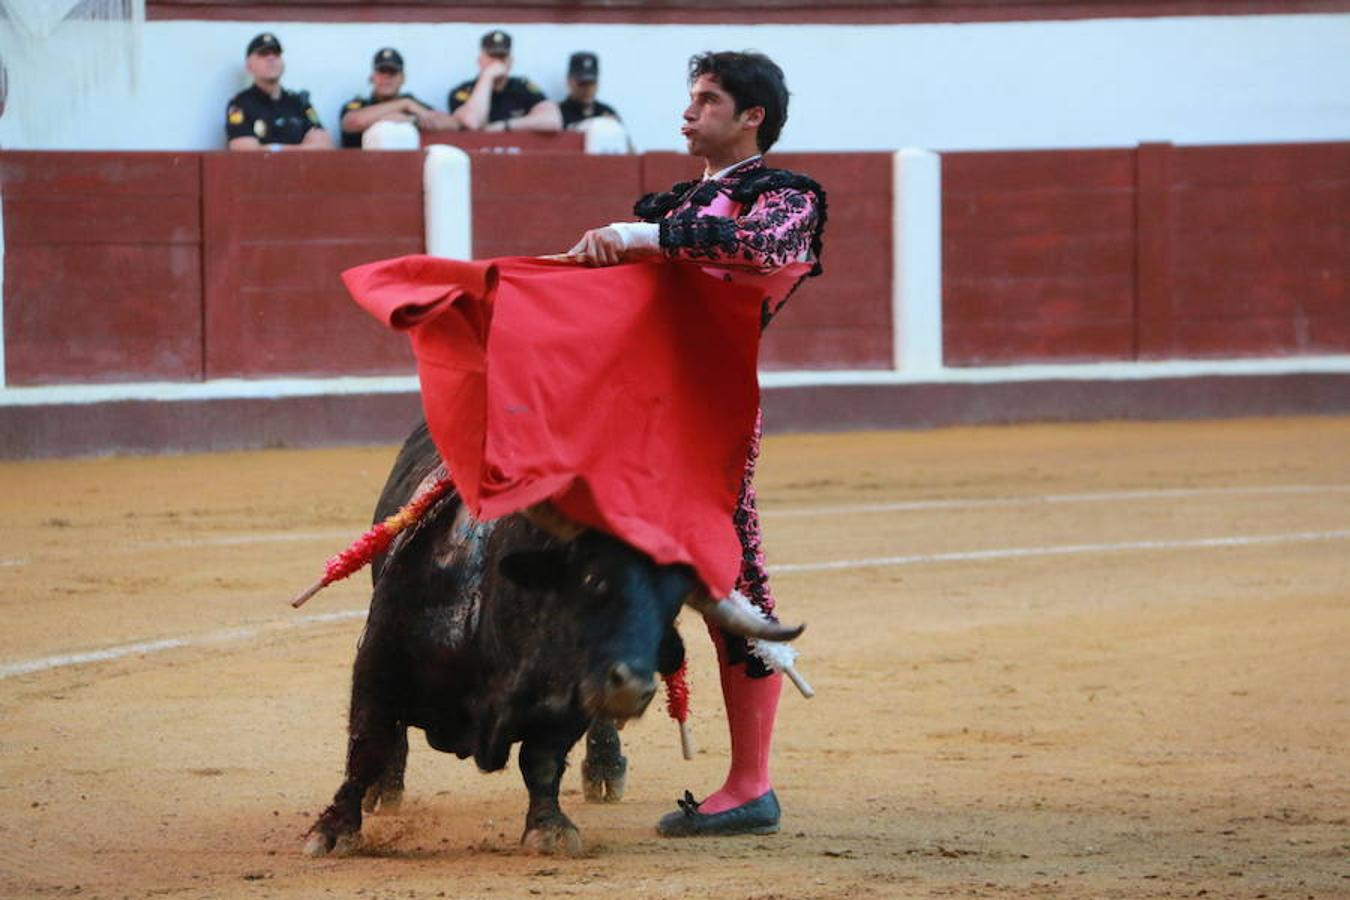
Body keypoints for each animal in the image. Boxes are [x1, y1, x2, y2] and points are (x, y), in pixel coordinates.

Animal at [303, 426, 799, 858]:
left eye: (672, 604)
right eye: (593, 580)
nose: (633, 687)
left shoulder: (567, 703)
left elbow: (541, 760)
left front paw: (550, 828)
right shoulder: (379, 658)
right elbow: (367, 743)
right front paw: (333, 830)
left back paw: (605, 768)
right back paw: (385, 789)